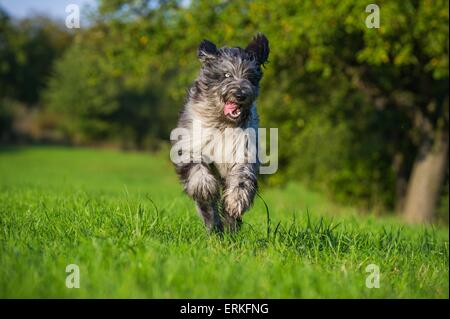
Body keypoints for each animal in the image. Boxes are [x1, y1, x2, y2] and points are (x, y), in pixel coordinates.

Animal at [173, 33, 270, 232]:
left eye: (250, 76)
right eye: (226, 75)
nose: (240, 94)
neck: (222, 124)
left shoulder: (243, 150)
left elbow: (241, 177)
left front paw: (236, 200)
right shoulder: (189, 142)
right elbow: (196, 167)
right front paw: (204, 186)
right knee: (208, 208)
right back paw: (215, 228)